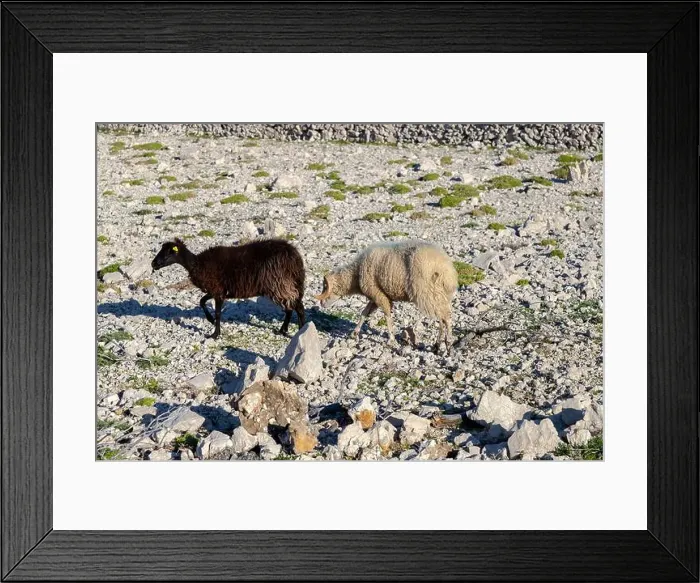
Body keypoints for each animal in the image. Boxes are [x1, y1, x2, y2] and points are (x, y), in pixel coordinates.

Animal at [151, 237, 305, 339]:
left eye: (170, 252)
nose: (153, 264)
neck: (197, 264)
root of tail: (295, 257)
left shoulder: (218, 291)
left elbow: (218, 313)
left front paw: (215, 334)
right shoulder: (216, 290)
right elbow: (202, 301)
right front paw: (210, 320)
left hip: (280, 283)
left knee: (298, 307)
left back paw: (301, 330)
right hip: (283, 285)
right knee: (290, 308)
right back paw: (282, 330)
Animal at [314, 240, 458, 352]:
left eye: (325, 286)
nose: (321, 304)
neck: (355, 275)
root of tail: (446, 269)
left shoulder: (378, 294)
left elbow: (387, 315)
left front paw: (391, 339)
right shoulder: (375, 296)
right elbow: (364, 313)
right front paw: (354, 333)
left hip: (426, 292)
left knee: (445, 317)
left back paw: (448, 343)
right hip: (438, 294)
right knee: (442, 318)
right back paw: (438, 344)